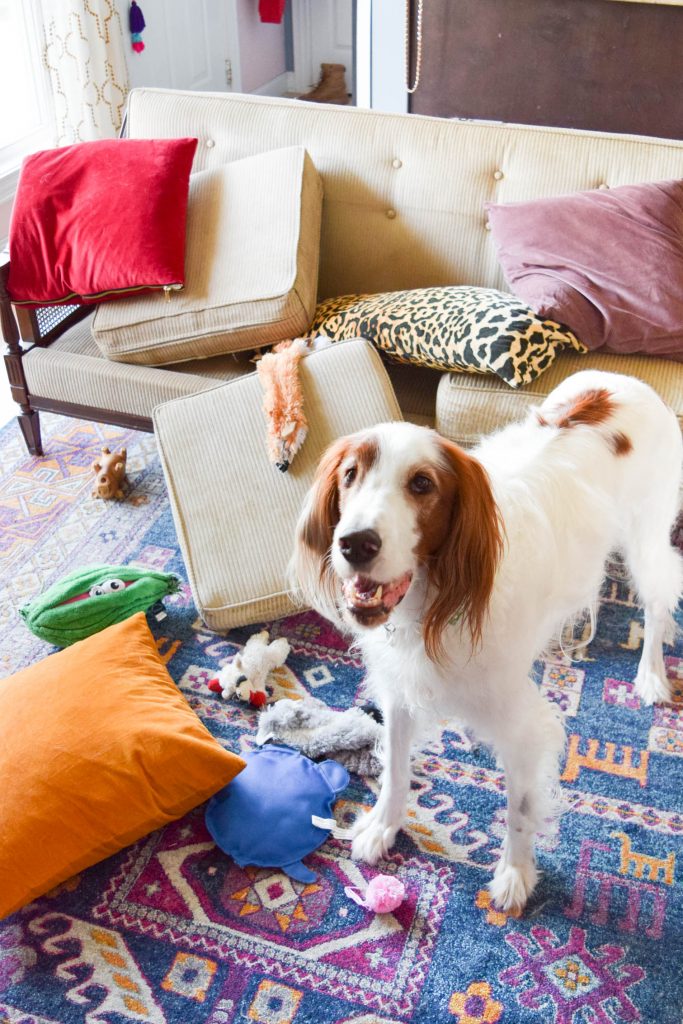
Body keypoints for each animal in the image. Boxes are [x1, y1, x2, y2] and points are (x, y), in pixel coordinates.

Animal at [294, 370, 683, 913]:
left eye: (422, 484)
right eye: (350, 474)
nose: (355, 543)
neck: (431, 603)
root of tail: (629, 381)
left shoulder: (524, 728)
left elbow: (519, 809)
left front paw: (514, 876)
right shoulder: (399, 691)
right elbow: (395, 768)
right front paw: (382, 827)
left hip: (646, 539)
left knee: (658, 600)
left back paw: (650, 674)